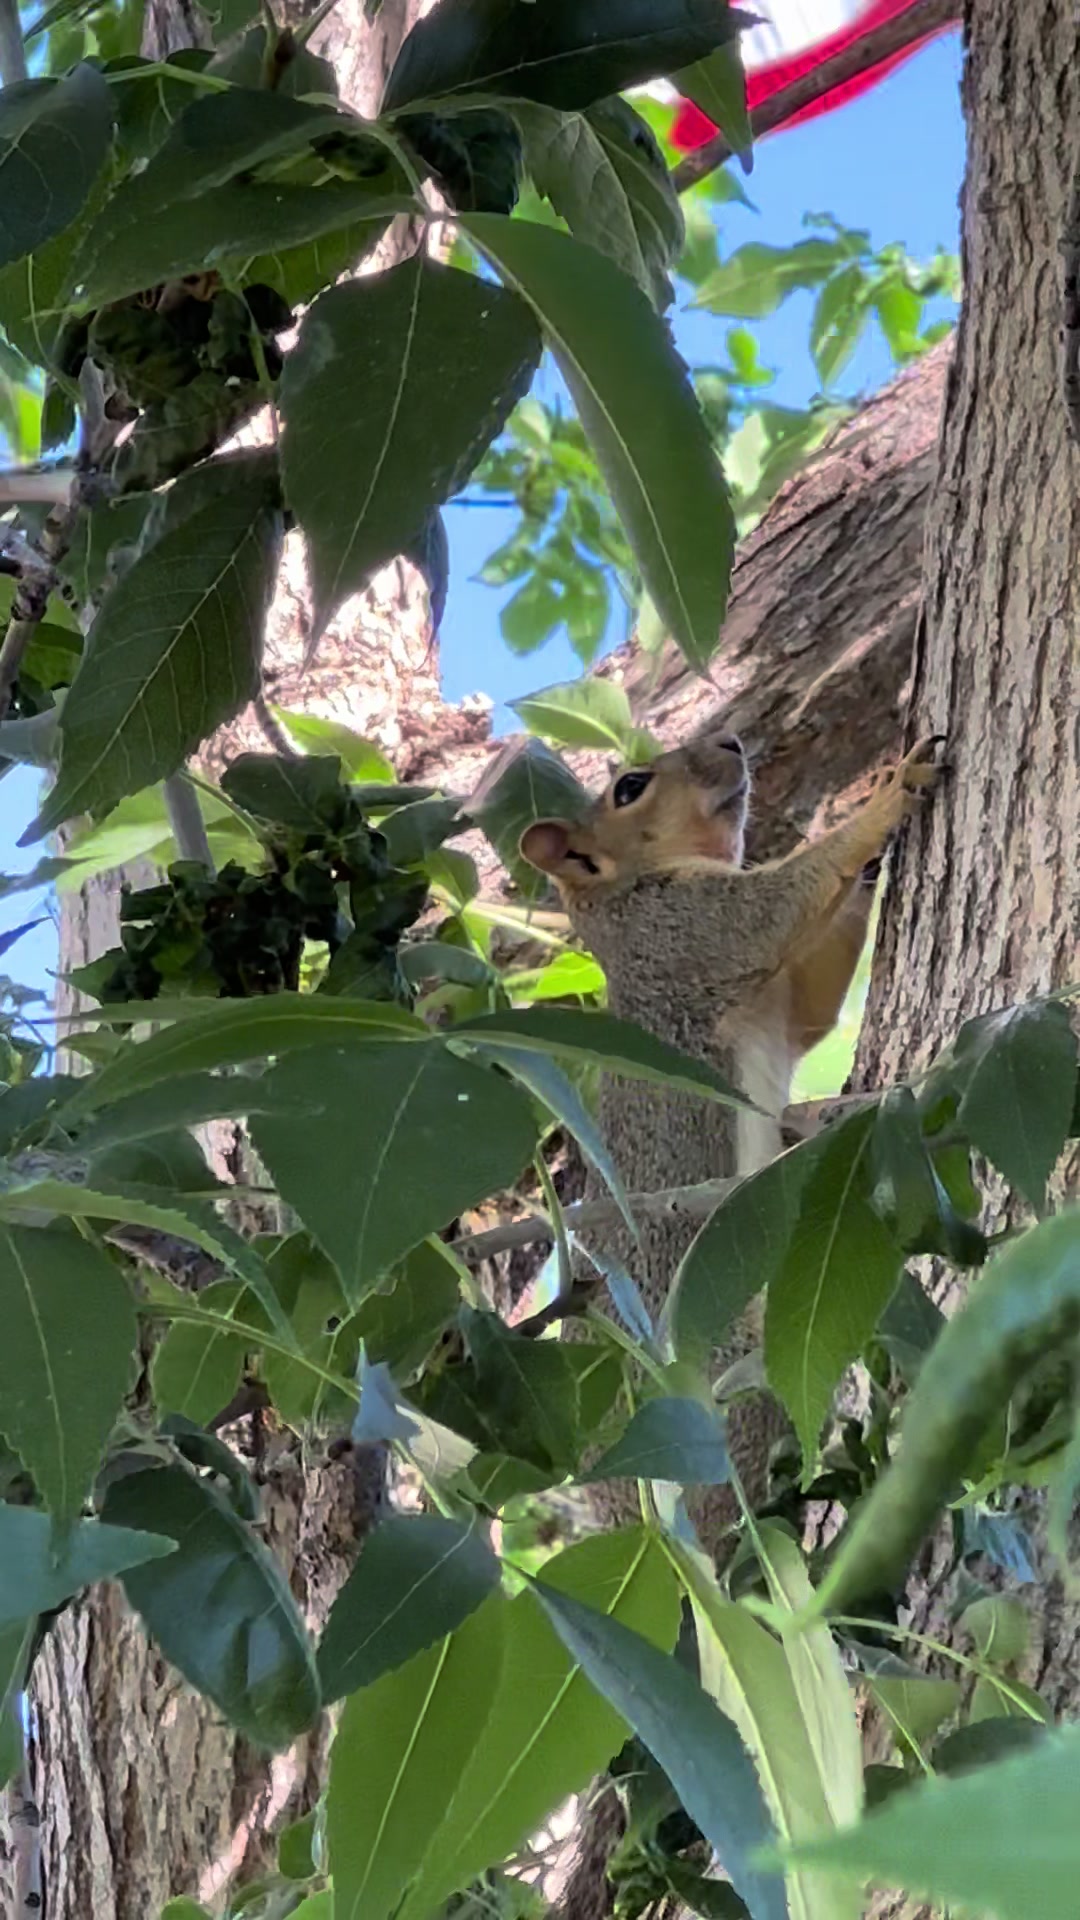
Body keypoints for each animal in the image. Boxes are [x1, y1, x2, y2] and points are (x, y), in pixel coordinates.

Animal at [518, 724, 944, 1554]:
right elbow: (774, 906)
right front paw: (890, 795)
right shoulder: (687, 934)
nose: (732, 740)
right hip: (729, 1360)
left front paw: (874, 831)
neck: (622, 898)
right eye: (629, 788)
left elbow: (815, 995)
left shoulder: (785, 1004)